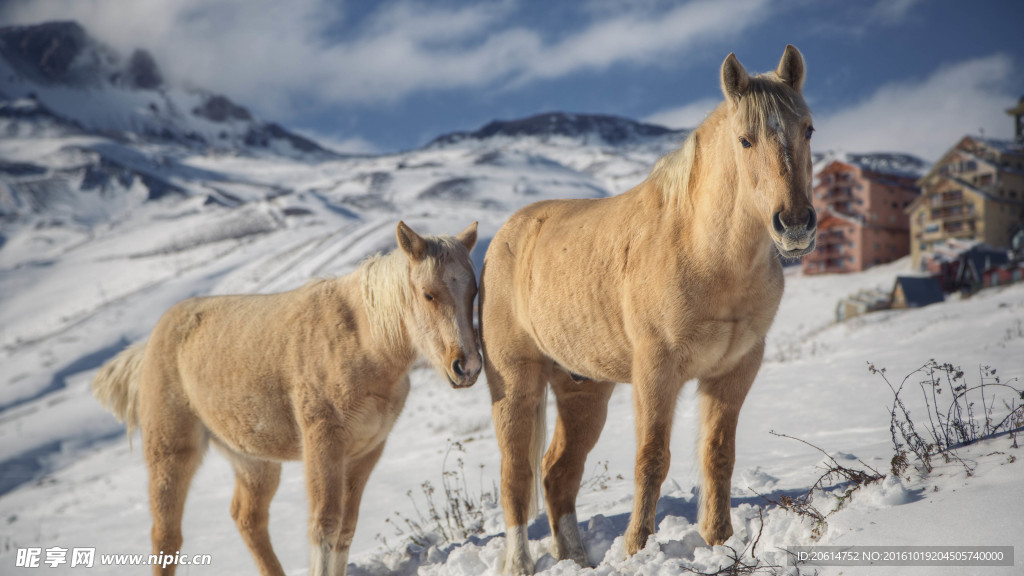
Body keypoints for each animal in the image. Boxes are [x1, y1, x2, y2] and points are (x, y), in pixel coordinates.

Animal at [92, 221, 480, 576]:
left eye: (474, 292)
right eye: (428, 294)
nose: (468, 366)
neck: (362, 342)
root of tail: (151, 343)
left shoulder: (366, 453)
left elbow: (346, 530)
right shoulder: (324, 446)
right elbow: (324, 527)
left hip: (254, 461)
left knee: (248, 519)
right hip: (171, 454)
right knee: (166, 536)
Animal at [479, 45, 815, 574]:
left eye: (808, 130)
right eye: (745, 139)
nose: (796, 224)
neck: (705, 252)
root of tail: (504, 238)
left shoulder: (735, 370)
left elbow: (718, 453)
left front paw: (719, 540)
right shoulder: (657, 370)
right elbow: (652, 458)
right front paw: (638, 547)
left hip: (583, 391)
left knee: (557, 473)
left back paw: (578, 558)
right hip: (515, 386)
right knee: (516, 476)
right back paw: (520, 563)